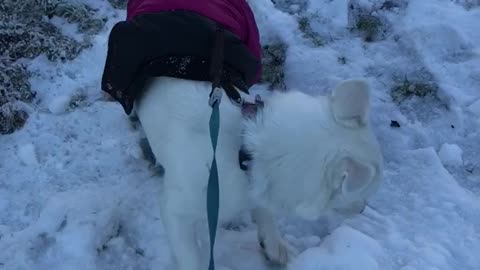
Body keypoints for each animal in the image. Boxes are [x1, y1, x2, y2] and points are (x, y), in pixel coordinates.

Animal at [133, 76, 384, 270]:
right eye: (362, 193)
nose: (363, 209)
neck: (242, 150)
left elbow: (264, 210)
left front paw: (274, 243)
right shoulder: (175, 211)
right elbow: (190, 256)